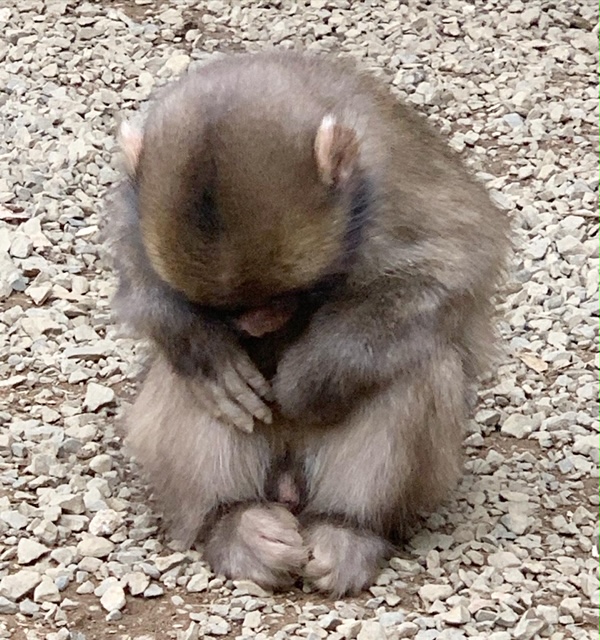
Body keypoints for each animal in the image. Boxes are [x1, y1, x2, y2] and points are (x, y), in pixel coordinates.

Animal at [103, 48, 506, 596]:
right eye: (220, 309)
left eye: (285, 295)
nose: (254, 326)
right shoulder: (133, 206)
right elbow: (135, 269)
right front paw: (204, 352)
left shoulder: (396, 175)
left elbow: (456, 263)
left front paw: (312, 377)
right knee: (182, 385)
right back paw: (235, 522)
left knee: (420, 364)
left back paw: (348, 528)